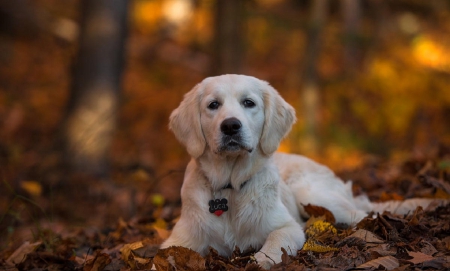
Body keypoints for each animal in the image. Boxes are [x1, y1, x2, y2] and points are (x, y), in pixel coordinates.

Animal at [160, 74, 378, 270]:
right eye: (213, 105)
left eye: (249, 103)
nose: (230, 126)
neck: (230, 186)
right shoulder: (180, 239)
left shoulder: (288, 226)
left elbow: (276, 239)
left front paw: (262, 259)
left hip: (311, 194)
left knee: (362, 214)